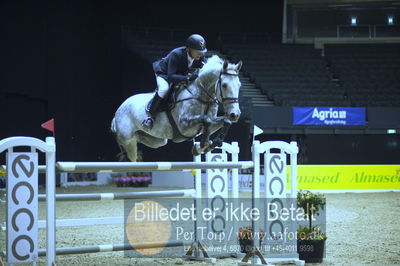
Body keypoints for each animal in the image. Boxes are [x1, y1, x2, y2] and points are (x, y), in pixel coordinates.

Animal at [110, 55, 241, 161]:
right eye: (224, 85)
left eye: (239, 85)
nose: (235, 114)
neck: (201, 94)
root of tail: (118, 110)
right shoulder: (184, 125)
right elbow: (206, 120)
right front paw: (203, 145)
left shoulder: (209, 122)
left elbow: (225, 121)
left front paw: (208, 144)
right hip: (128, 141)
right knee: (130, 157)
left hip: (157, 141)